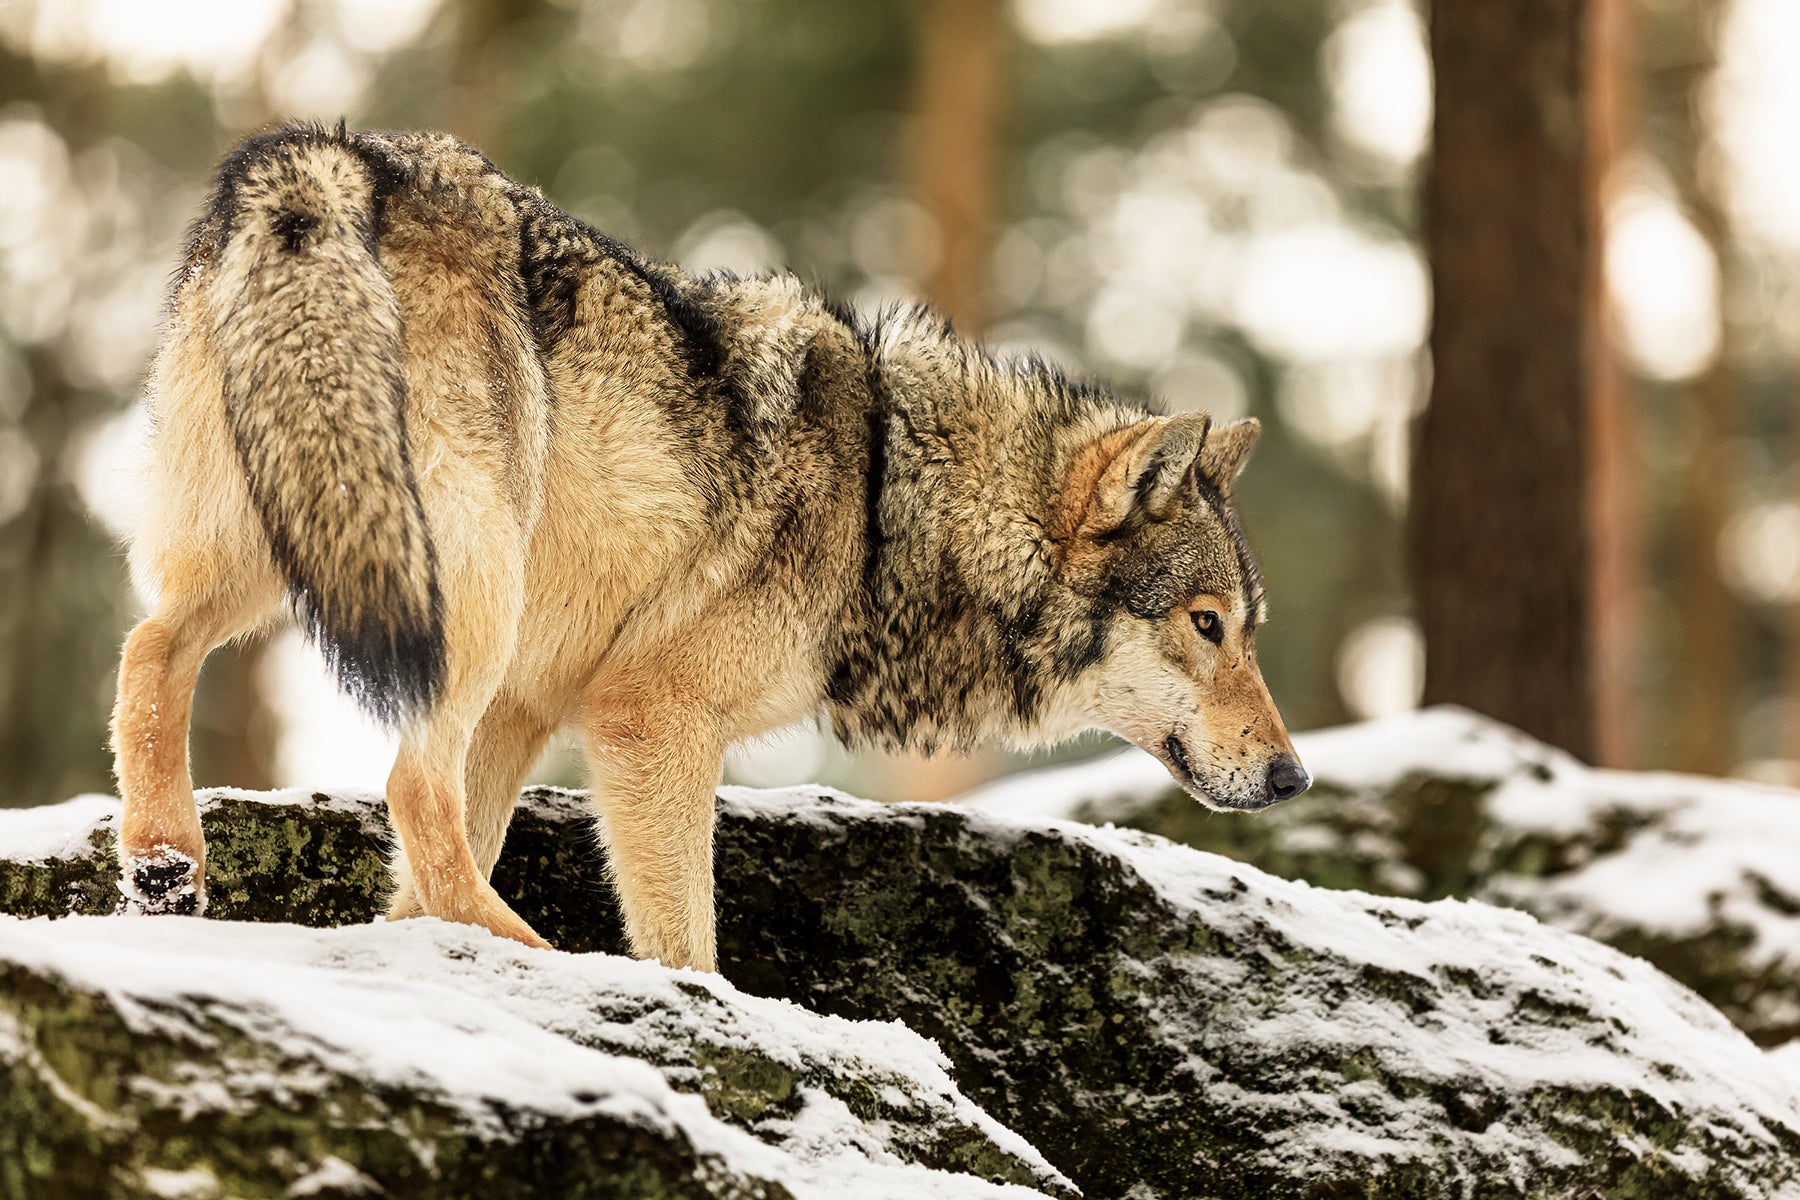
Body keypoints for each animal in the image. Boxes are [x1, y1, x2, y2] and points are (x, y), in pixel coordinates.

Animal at [112, 122, 1310, 971]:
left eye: (1252, 630)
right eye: (1207, 626)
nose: (1294, 776)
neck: (885, 501)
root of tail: (334, 157)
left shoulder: (530, 710)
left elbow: (422, 881)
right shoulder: (650, 720)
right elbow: (688, 944)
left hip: (319, 557)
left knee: (152, 648)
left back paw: (164, 862)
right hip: (450, 591)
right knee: (404, 780)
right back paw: (538, 955)